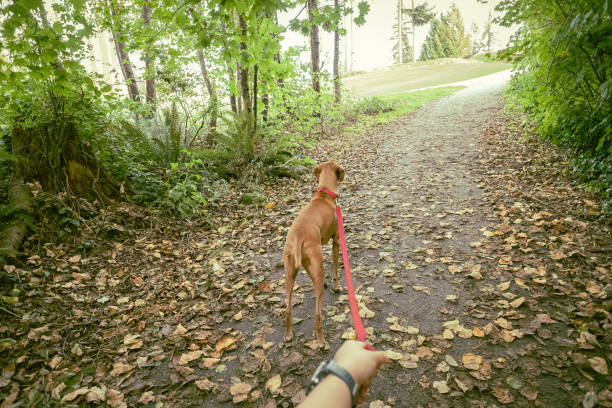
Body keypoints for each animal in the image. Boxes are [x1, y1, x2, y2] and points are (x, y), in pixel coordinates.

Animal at [282, 161, 344, 350]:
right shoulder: (336, 241)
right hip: (316, 269)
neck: (324, 194)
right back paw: (321, 342)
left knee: (288, 309)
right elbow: (335, 268)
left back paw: (288, 335)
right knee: (318, 314)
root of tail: (298, 237)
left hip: (289, 273)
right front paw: (336, 286)